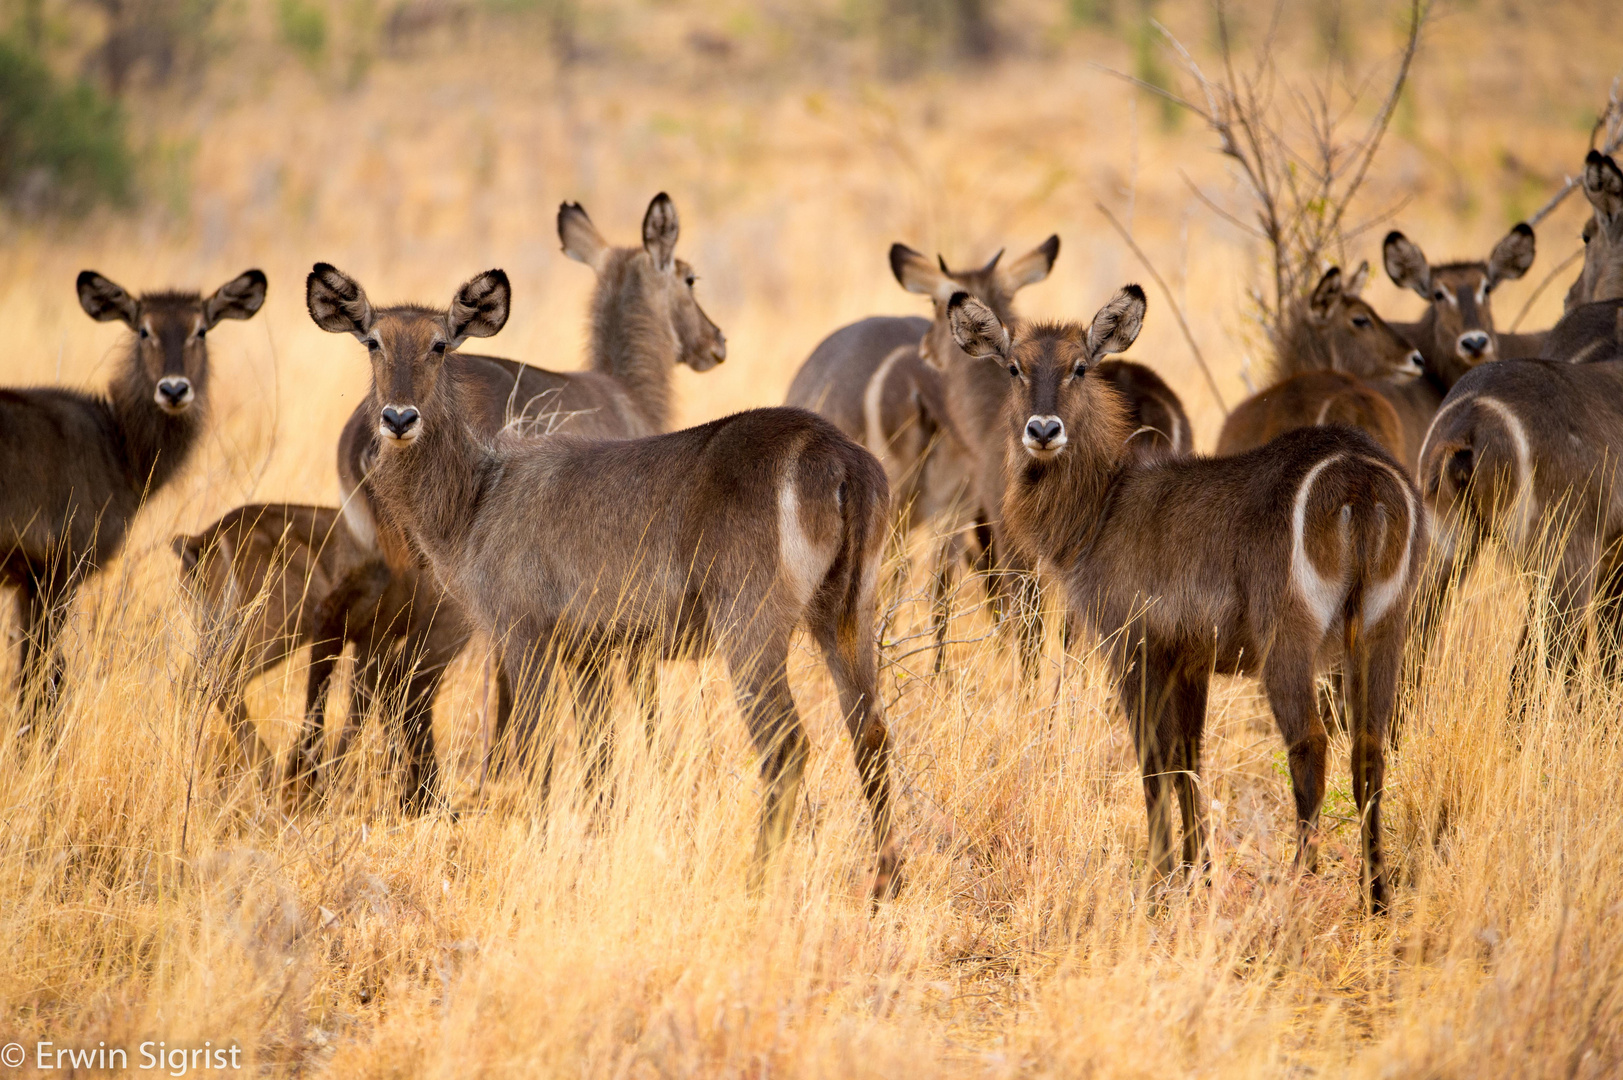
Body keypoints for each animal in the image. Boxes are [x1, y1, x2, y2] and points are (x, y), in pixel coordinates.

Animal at [2, 269, 262, 724]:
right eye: (144, 329)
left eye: (201, 330)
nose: (174, 390)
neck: (117, 444)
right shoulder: (55, 571)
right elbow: (44, 681)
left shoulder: (26, 578)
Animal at [173, 500, 460, 805]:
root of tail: (197, 542)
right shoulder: (385, 633)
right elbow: (375, 700)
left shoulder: (378, 638)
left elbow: (378, 700)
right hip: (278, 624)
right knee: (218, 681)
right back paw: (270, 772)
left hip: (222, 630)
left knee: (189, 682)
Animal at [306, 263, 902, 902]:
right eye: (373, 342)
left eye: (440, 344)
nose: (398, 418)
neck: (476, 499)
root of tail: (840, 457)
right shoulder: (591, 650)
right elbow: (601, 760)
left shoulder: (524, 631)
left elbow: (535, 749)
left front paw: (542, 855)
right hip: (849, 612)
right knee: (870, 730)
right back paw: (886, 882)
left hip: (752, 623)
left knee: (787, 746)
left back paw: (755, 882)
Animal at [332, 195, 727, 799]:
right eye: (689, 277)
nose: (716, 342)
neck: (627, 395)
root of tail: (364, 429)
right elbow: (641, 703)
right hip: (446, 597)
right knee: (405, 679)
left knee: (366, 670)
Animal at [954, 284, 1428, 909]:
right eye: (1015, 367)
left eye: (1079, 366)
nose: (1043, 430)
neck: (1104, 504)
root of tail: (1359, 478)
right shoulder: (1191, 658)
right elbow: (1189, 759)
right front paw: (1196, 873)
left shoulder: (1133, 645)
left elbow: (1153, 761)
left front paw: (1158, 880)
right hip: (1382, 627)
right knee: (1370, 748)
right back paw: (1376, 897)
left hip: (1288, 641)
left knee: (1310, 745)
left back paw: (1297, 886)